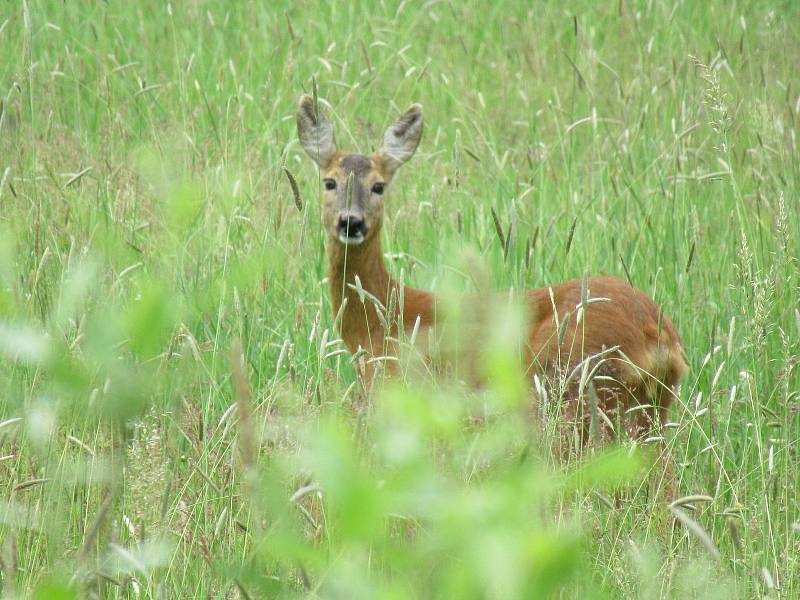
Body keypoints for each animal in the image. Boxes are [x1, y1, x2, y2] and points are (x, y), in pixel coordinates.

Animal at [296, 95, 688, 440]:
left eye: (378, 185)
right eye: (329, 181)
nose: (351, 222)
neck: (383, 319)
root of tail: (658, 334)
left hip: (574, 391)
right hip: (650, 404)